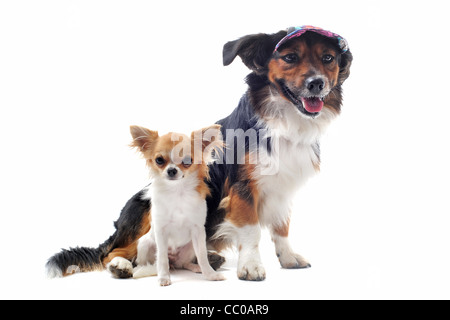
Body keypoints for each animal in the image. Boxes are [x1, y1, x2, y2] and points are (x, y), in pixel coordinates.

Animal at [47, 25, 354, 280]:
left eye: (328, 58)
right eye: (290, 57)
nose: (317, 83)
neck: (282, 120)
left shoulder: (282, 189)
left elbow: (281, 228)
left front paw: (288, 258)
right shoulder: (243, 188)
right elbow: (252, 229)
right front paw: (251, 266)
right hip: (145, 210)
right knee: (115, 252)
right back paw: (121, 266)